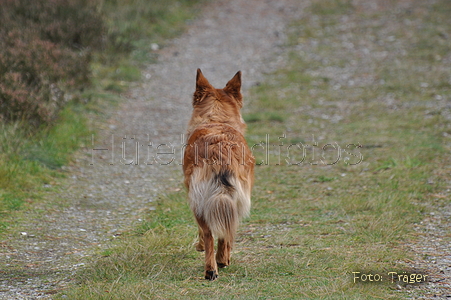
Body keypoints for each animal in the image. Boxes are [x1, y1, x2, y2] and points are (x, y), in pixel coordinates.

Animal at [183, 69, 254, 280]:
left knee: (209, 233)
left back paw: (211, 267)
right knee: (221, 232)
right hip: (230, 200)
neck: (216, 120)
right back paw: (219, 262)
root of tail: (219, 151)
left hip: (202, 200)